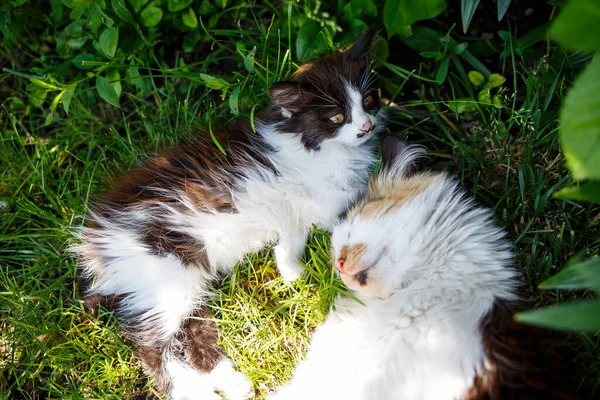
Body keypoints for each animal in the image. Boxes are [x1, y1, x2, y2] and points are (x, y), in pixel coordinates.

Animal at [74, 31, 384, 400]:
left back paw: (231, 383)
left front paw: (290, 271)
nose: (366, 126)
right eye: (336, 117)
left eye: (369, 99)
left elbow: (293, 232)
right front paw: (297, 271)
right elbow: (308, 222)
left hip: (182, 279)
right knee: (152, 346)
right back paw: (192, 392)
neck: (309, 144)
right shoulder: (302, 194)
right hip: (164, 268)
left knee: (189, 330)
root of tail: (96, 241)